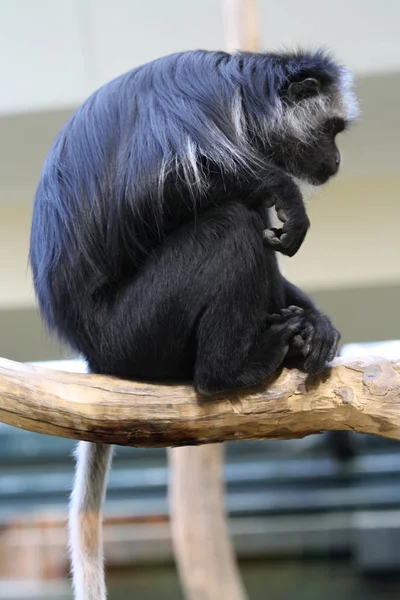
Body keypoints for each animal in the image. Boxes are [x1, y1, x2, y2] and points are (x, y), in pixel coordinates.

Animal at [28, 48, 360, 600]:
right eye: (331, 130)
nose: (335, 162)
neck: (244, 96)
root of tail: (92, 351)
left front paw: (317, 321)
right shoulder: (197, 99)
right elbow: (156, 188)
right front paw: (286, 194)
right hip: (136, 330)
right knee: (231, 225)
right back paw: (232, 370)